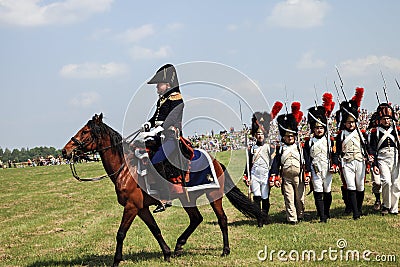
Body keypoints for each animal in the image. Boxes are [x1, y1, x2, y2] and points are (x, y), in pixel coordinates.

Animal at [61, 114, 262, 266]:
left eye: (85, 131)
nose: (65, 151)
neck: (126, 168)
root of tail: (215, 161)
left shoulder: (132, 206)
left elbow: (121, 233)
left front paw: (116, 260)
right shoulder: (141, 208)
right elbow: (155, 229)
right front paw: (166, 253)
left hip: (214, 195)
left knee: (222, 219)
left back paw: (225, 250)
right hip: (187, 199)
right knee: (196, 219)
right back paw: (179, 246)